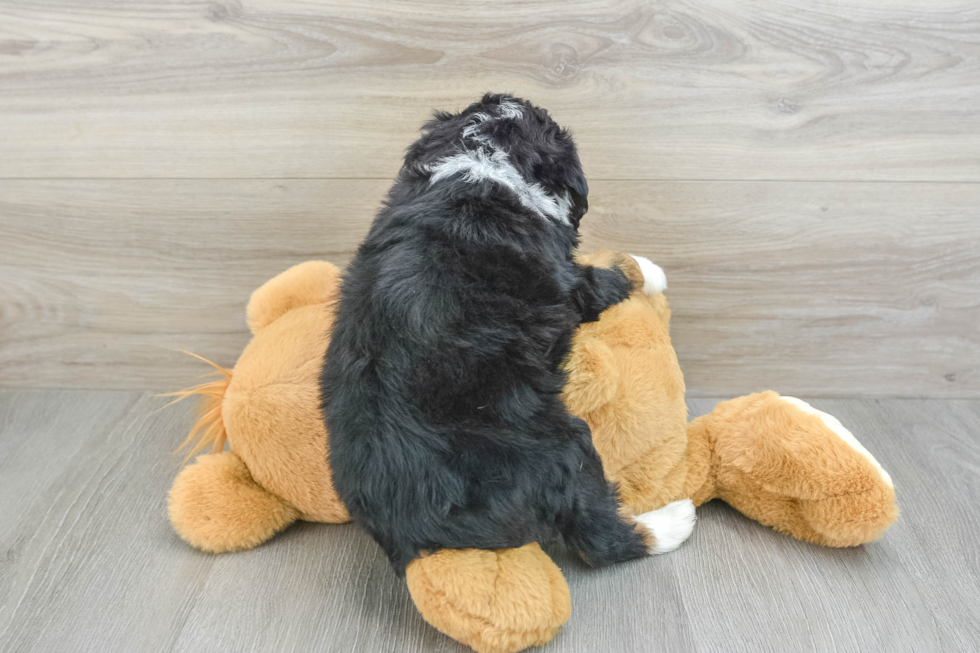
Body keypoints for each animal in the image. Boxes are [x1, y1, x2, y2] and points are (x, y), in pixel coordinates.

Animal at [322, 93, 688, 576]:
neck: (484, 163)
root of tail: (411, 529)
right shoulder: (570, 285)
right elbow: (613, 270)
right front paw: (652, 270)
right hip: (561, 447)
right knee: (599, 537)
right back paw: (673, 521)